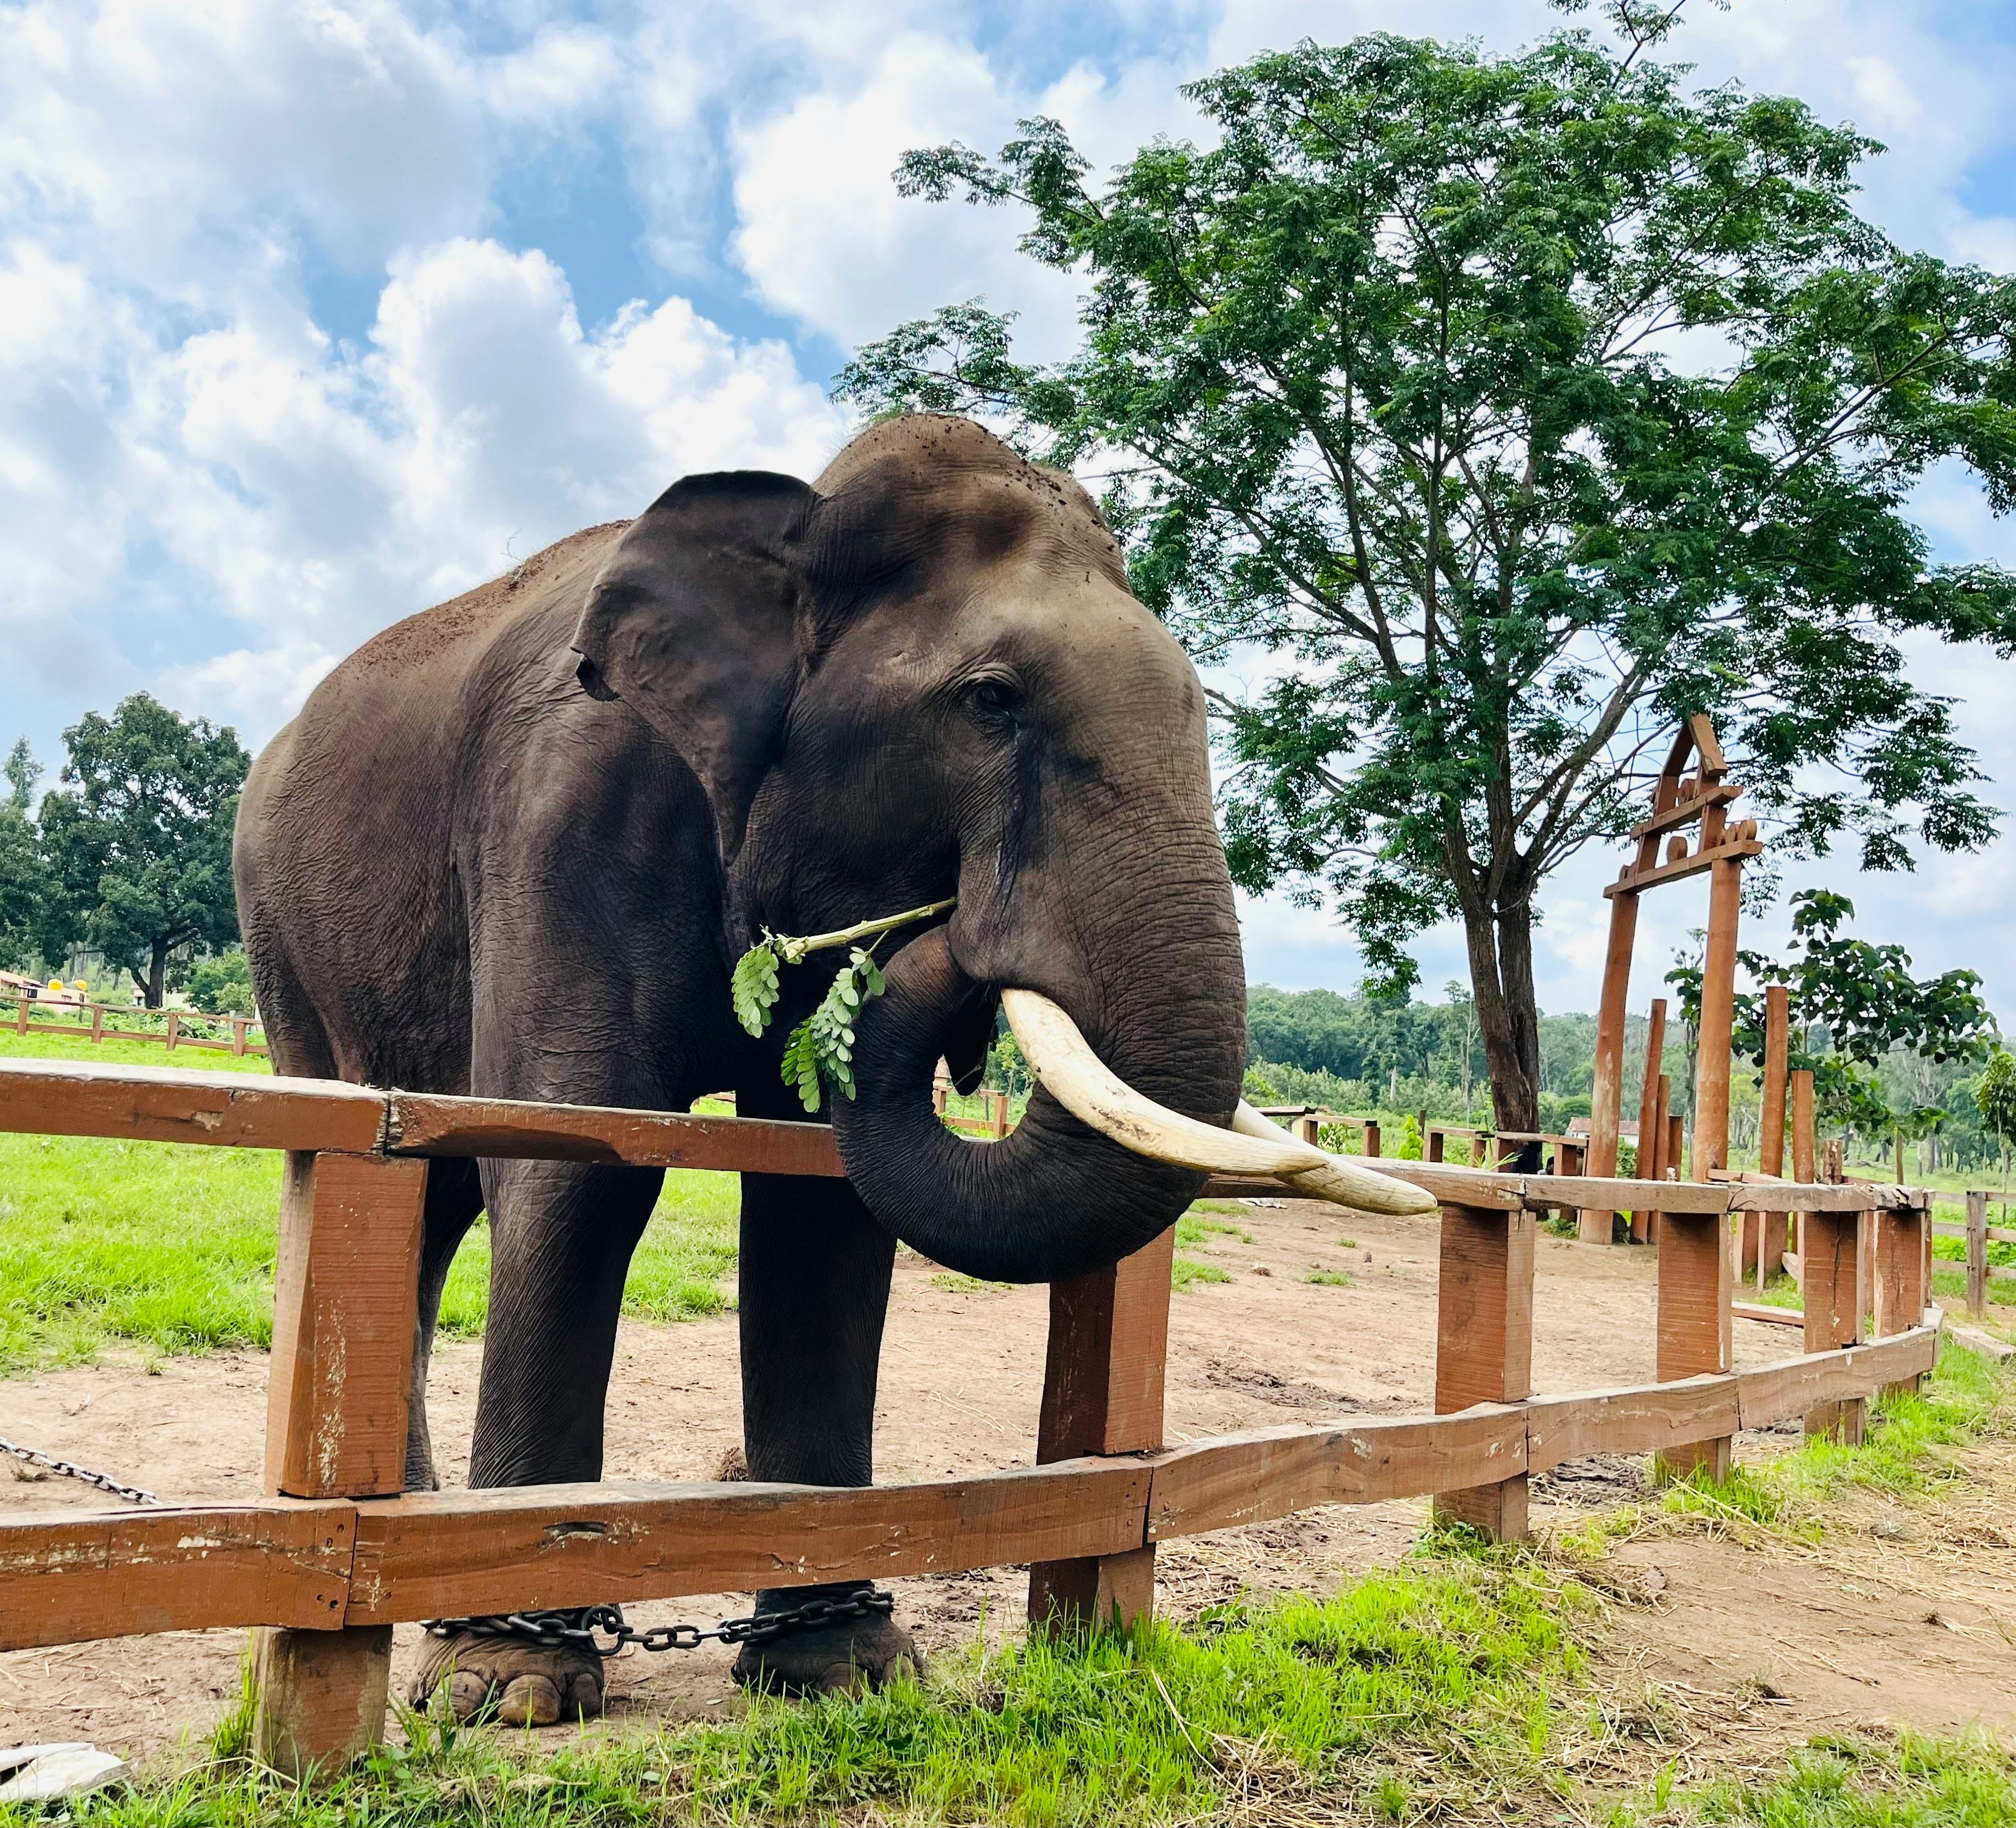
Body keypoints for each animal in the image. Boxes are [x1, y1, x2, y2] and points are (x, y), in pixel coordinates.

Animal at [233, 413, 1252, 1721]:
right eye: (990, 700)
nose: (950, 929)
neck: (796, 520)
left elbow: (818, 1199)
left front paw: (839, 1670)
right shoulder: (563, 811)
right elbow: (577, 1157)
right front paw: (508, 1685)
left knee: (430, 1200)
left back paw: (403, 1524)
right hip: (283, 942)